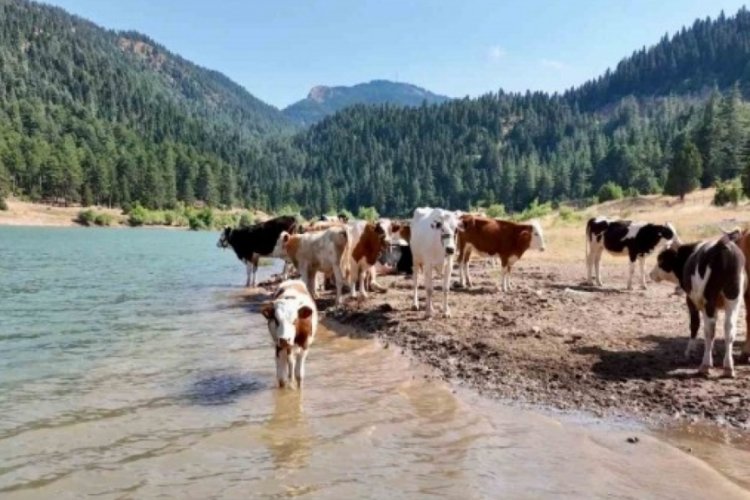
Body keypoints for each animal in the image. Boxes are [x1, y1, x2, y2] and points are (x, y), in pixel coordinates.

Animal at [648, 236, 748, 376]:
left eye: (660, 260)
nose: (651, 274)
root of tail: (723, 246)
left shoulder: (691, 300)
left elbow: (694, 324)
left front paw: (690, 351)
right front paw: (712, 350)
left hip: (709, 300)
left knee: (709, 329)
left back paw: (705, 365)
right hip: (733, 299)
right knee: (729, 329)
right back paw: (728, 367)